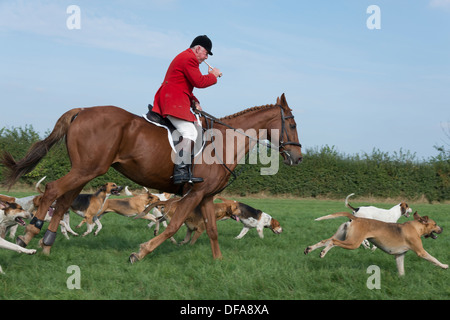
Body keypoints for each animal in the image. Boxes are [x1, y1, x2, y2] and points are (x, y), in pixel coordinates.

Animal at [1, 93, 302, 262]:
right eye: (292, 123)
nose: (298, 158)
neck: (225, 141)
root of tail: (83, 110)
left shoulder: (206, 195)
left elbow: (212, 230)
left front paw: (219, 262)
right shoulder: (193, 193)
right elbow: (173, 225)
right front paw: (142, 251)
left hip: (85, 172)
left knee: (63, 202)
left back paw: (47, 244)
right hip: (86, 170)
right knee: (52, 191)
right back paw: (29, 234)